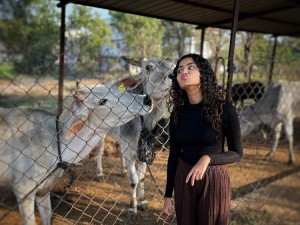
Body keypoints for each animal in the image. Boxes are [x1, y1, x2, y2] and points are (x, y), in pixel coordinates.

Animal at [0, 82, 152, 225]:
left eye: (115, 90)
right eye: (102, 101)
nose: (147, 99)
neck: (55, 142)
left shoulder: (44, 191)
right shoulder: (24, 191)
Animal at [95, 57, 172, 217]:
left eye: (173, 66)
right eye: (149, 67)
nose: (173, 76)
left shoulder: (143, 150)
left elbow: (142, 177)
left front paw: (142, 202)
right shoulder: (129, 151)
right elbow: (134, 180)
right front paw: (132, 208)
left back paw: (122, 171)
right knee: (99, 151)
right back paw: (99, 174)